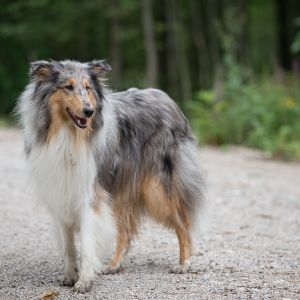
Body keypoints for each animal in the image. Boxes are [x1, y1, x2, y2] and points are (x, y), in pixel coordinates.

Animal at [15, 59, 204, 292]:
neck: (69, 136)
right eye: (68, 87)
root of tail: (167, 99)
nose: (89, 111)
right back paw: (113, 266)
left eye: (88, 87)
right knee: (126, 231)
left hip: (156, 189)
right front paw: (70, 276)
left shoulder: (90, 194)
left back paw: (184, 264)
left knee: (183, 222)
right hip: (122, 191)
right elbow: (69, 246)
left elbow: (87, 242)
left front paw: (84, 281)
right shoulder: (61, 194)